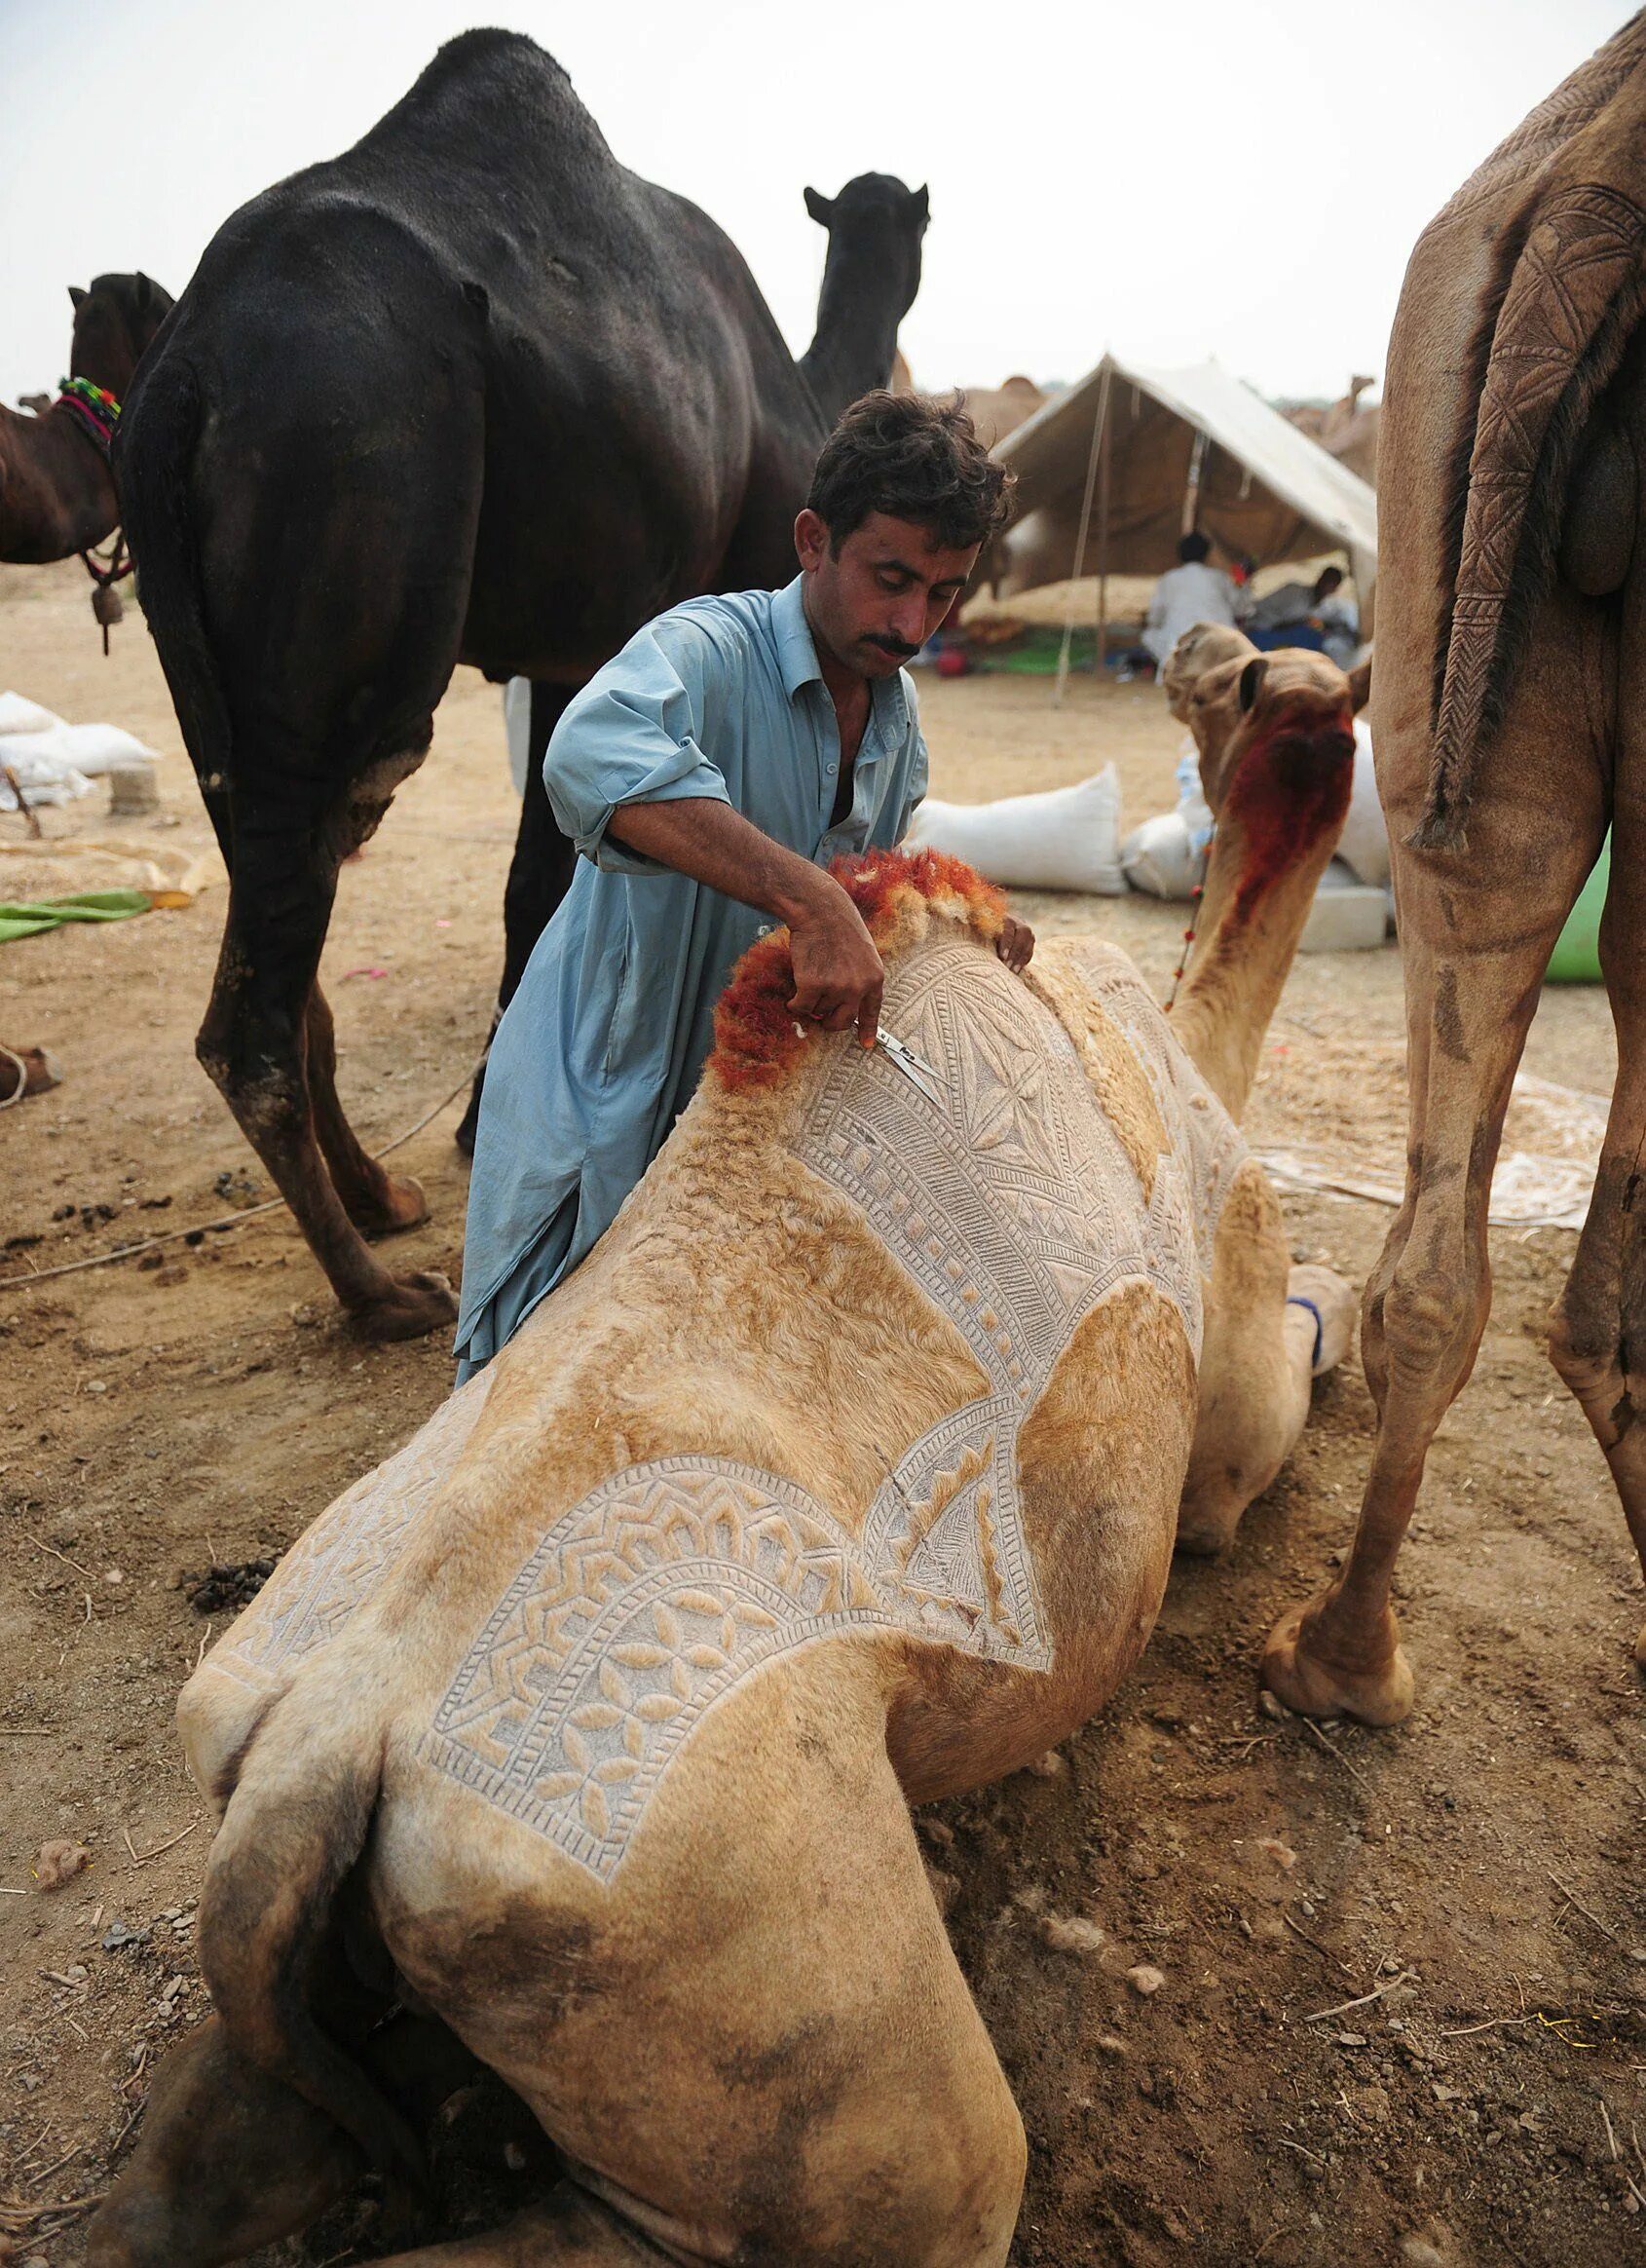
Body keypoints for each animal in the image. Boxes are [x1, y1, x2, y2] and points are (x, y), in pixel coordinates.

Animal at [119, 26, 929, 1333]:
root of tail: (180, 376)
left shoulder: (570, 640)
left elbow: (533, 879)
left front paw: (476, 1120)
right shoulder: (663, 607)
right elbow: (558, 865)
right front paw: (483, 1118)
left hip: (205, 676)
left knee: (283, 912)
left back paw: (381, 1196)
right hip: (347, 515)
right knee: (257, 1001)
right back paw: (380, 1290)